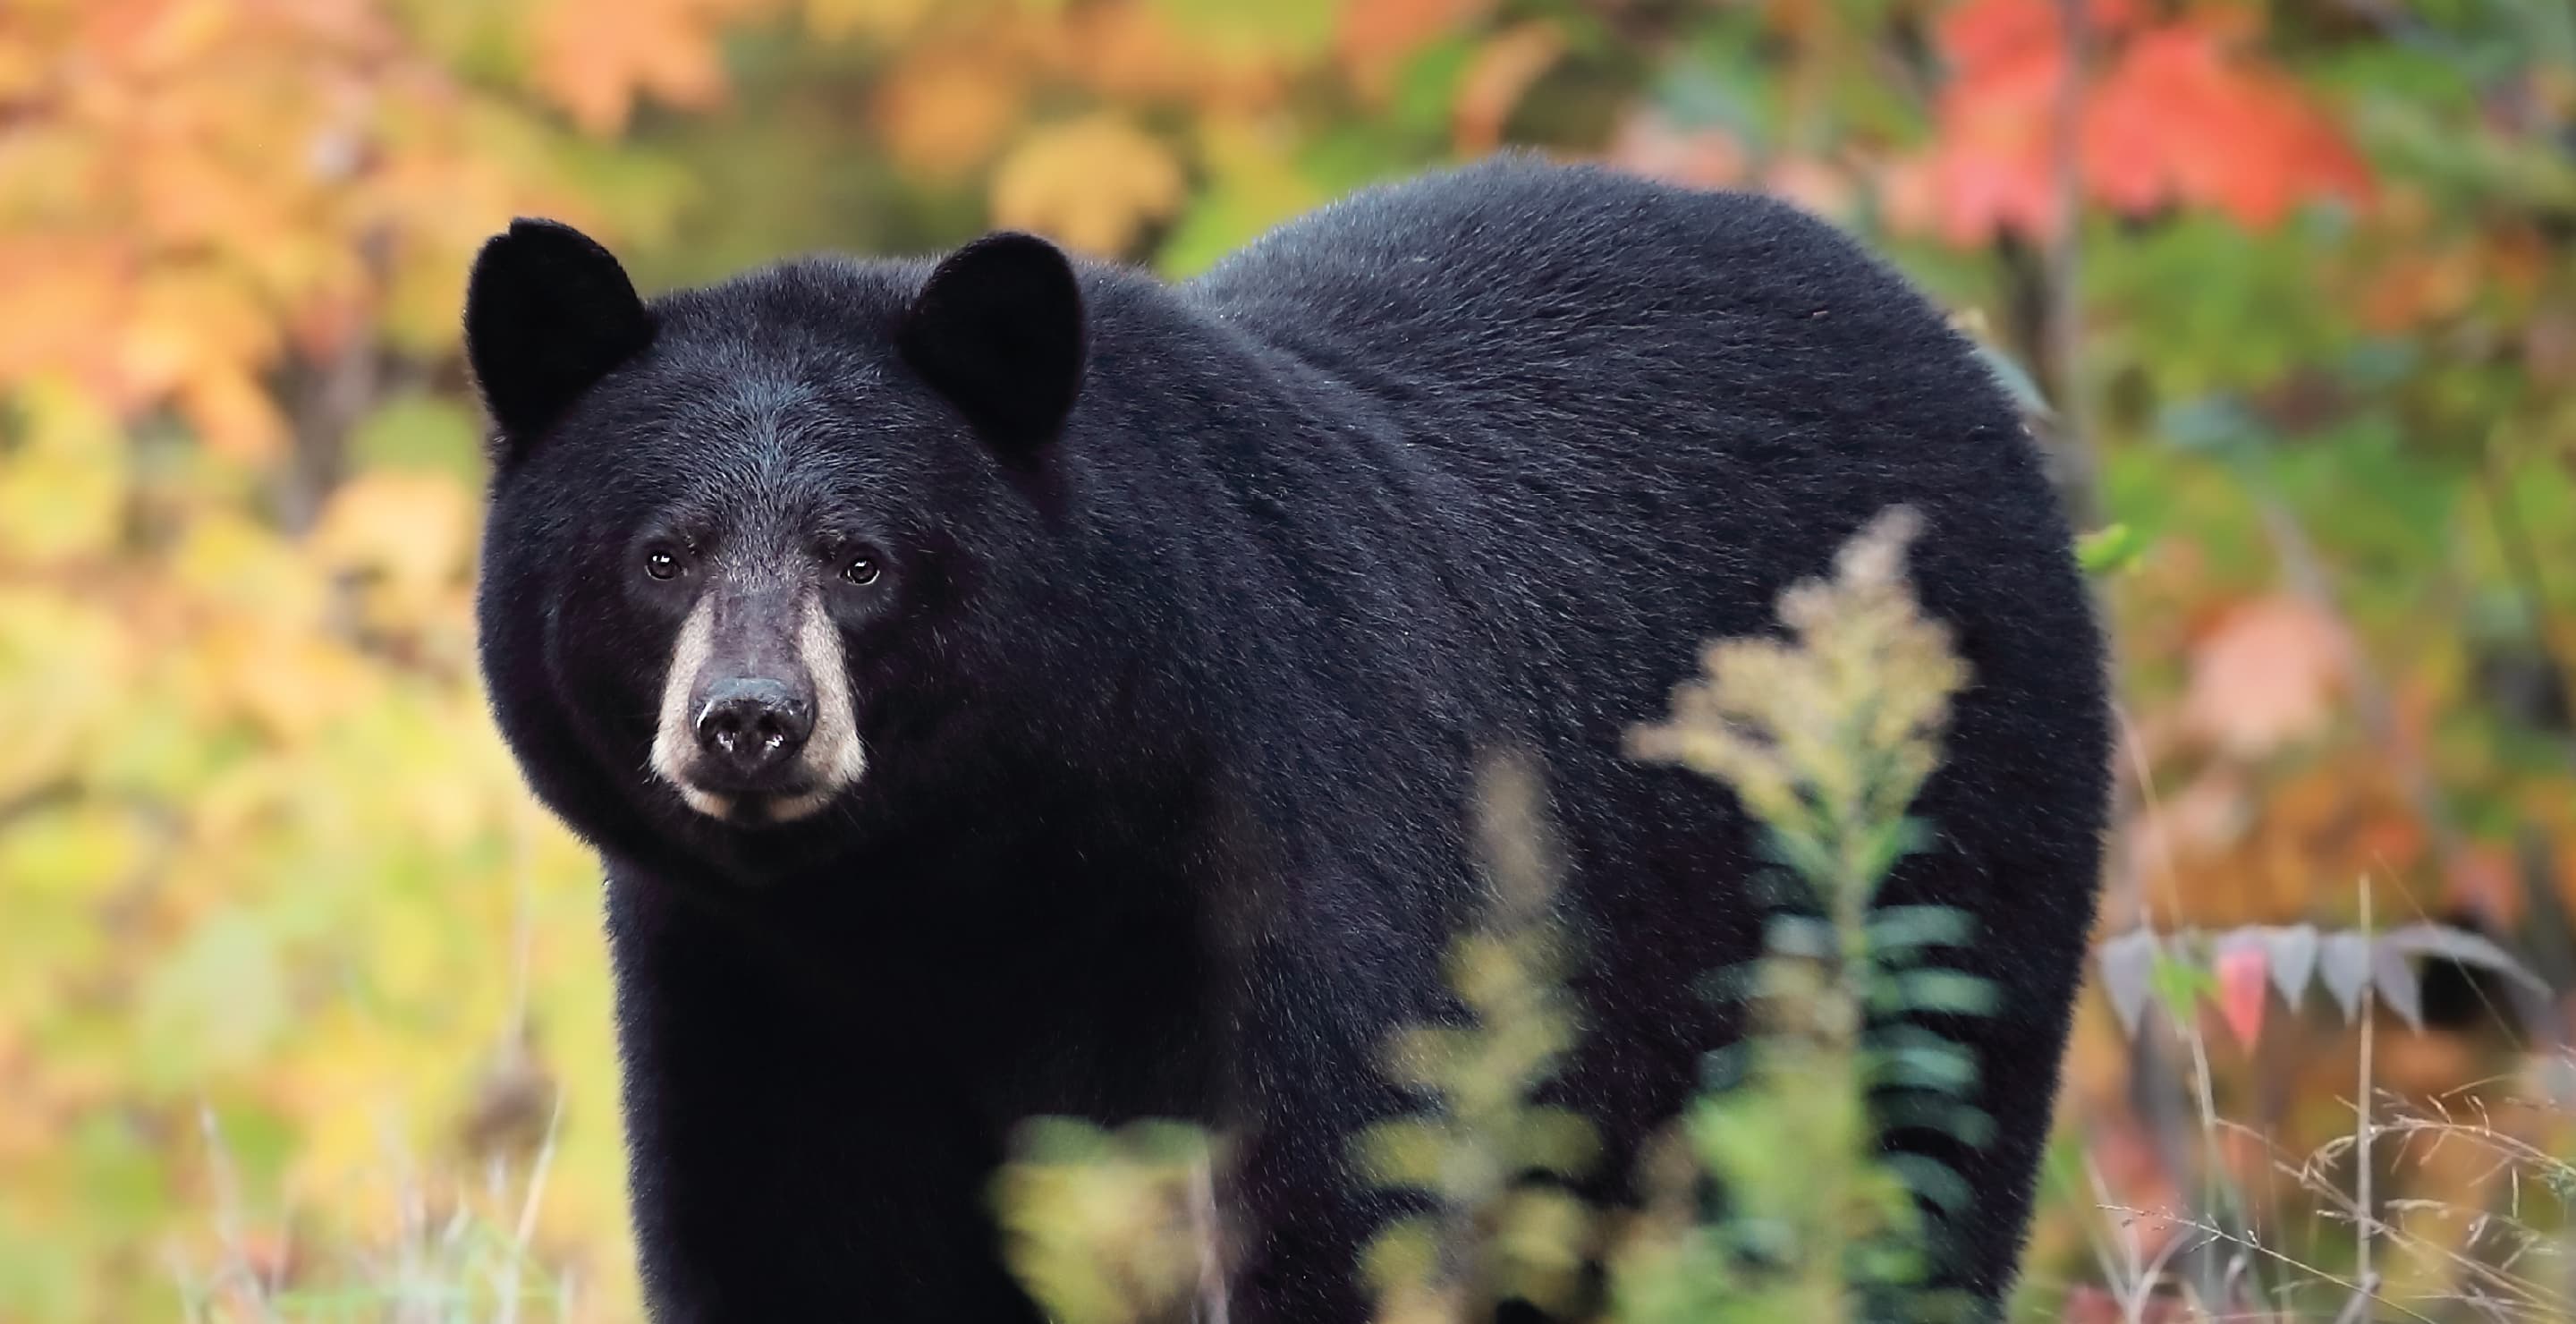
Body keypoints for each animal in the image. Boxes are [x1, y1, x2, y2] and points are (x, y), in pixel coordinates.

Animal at [464, 153, 2111, 1322]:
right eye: (661, 553)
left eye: (861, 559)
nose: (751, 723)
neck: (967, 878)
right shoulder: (756, 978)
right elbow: (797, 1237)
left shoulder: (1317, 829)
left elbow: (1361, 1181)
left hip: (1929, 857)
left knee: (1905, 1156)